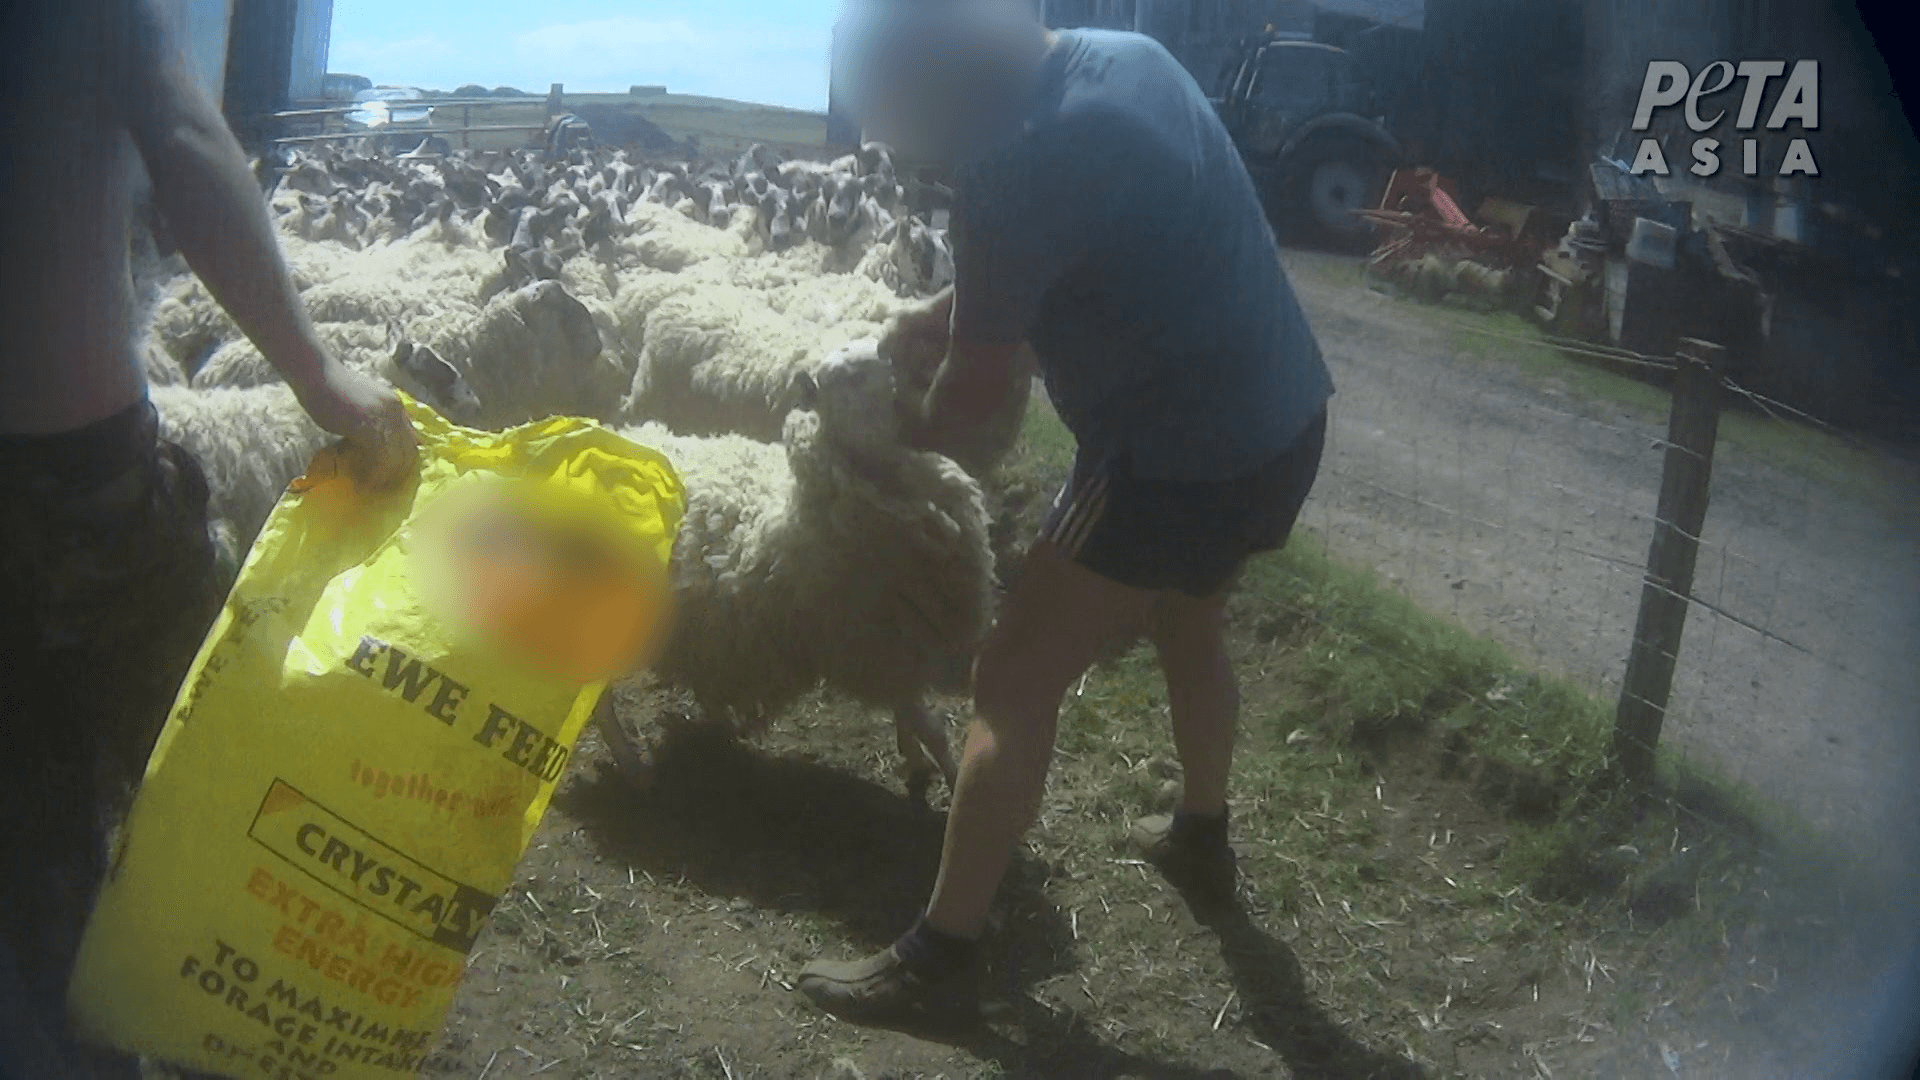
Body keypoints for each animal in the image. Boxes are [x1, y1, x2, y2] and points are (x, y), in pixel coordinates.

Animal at [595, 336, 990, 799]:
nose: (910, 365)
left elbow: (909, 717)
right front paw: (950, 780)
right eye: (846, 377)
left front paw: (915, 761)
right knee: (598, 703)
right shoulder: (872, 645)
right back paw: (634, 767)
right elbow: (932, 728)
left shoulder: (892, 651)